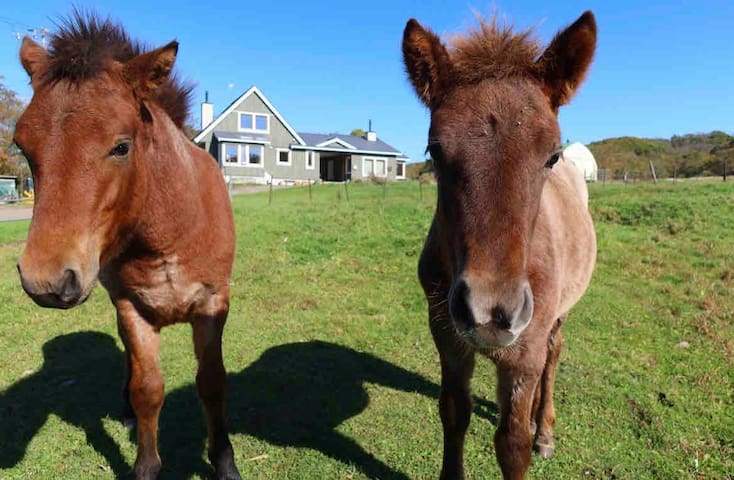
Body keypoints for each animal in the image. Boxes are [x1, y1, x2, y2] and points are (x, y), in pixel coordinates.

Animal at [14, 11, 243, 480]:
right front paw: (145, 462)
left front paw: (224, 461)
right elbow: (147, 388)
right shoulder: (132, 309)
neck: (168, 235)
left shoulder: (213, 304)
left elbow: (212, 383)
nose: (44, 280)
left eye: (121, 146)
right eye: (22, 147)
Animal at [406, 11, 600, 480]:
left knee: (553, 356)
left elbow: (512, 445)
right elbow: (454, 413)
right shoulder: (447, 337)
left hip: (556, 317)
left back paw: (543, 430)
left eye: (550, 156)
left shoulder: (524, 351)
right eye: (434, 151)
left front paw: (531, 434)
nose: (490, 312)